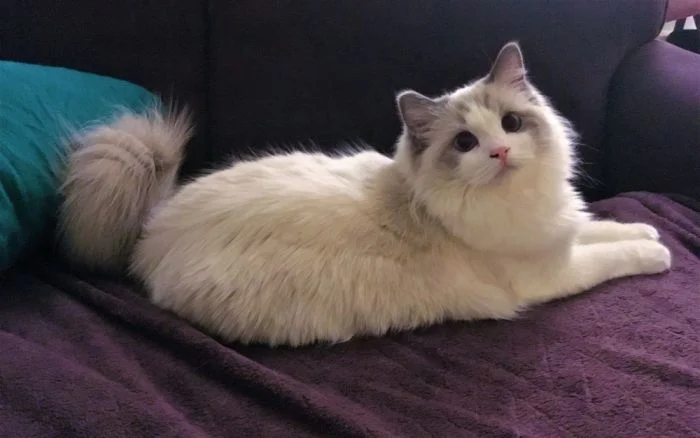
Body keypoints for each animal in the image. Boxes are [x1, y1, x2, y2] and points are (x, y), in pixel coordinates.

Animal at [57, 42, 671, 347]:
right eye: (466, 143)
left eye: (512, 125)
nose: (499, 153)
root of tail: (154, 227)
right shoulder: (550, 276)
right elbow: (614, 256)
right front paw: (659, 251)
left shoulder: (559, 232)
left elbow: (600, 226)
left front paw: (646, 227)